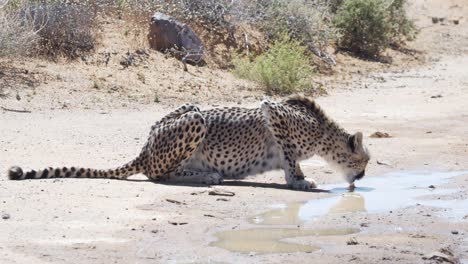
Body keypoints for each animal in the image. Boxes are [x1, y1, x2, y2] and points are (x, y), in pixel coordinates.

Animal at [6, 96, 370, 189]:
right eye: (364, 161)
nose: (364, 175)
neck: (323, 134)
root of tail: (144, 147)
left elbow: (288, 161)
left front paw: (296, 179)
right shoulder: (273, 112)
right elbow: (291, 158)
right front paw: (300, 181)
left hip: (188, 111)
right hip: (196, 118)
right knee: (157, 173)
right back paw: (207, 175)